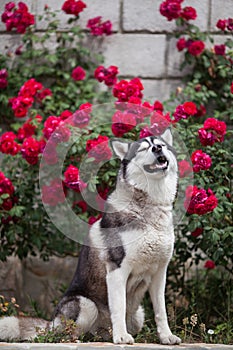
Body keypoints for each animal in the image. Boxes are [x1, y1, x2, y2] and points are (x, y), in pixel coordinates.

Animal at [0, 129, 181, 344]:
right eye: (144, 148)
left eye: (161, 144)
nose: (157, 148)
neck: (149, 207)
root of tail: (51, 322)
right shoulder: (117, 271)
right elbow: (119, 308)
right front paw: (121, 337)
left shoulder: (159, 274)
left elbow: (161, 311)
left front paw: (166, 337)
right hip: (86, 305)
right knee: (63, 333)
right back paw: (79, 339)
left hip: (138, 316)